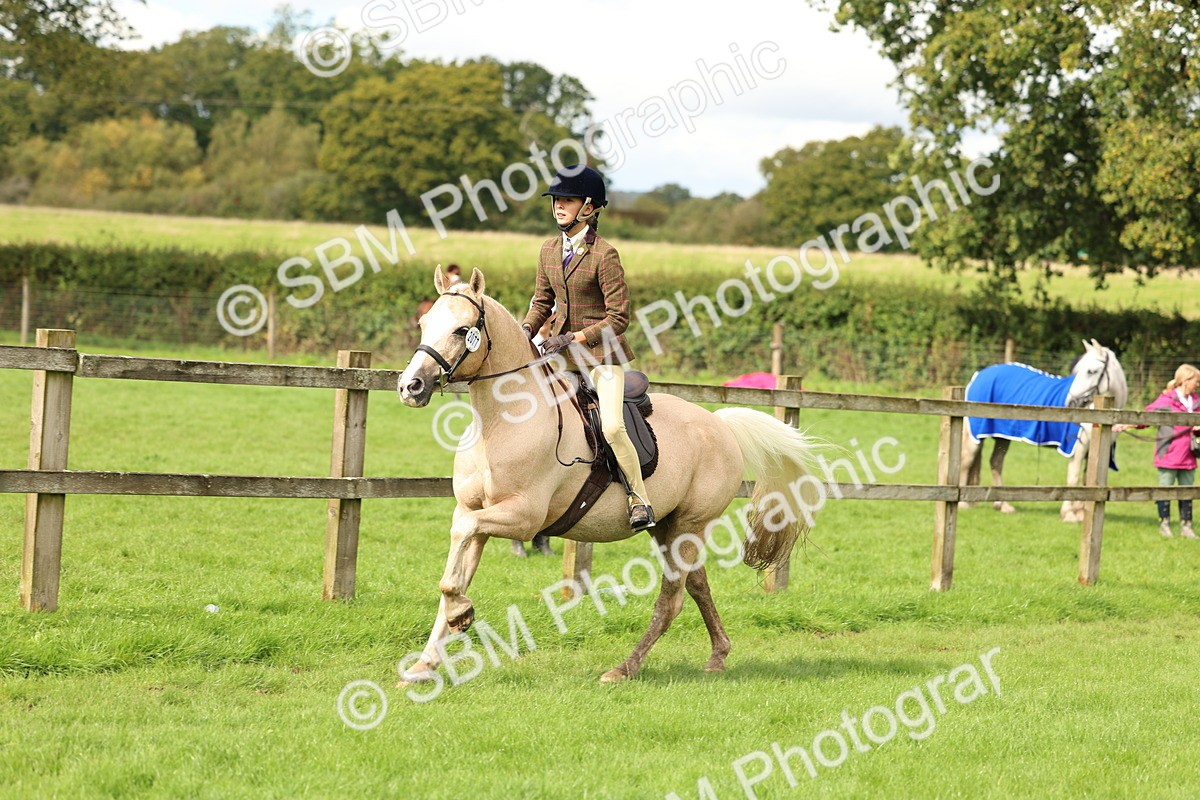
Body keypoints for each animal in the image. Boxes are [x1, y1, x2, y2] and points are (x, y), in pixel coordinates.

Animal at [396, 267, 823, 684]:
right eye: (424, 323)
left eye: (460, 330)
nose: (410, 386)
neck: (503, 422)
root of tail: (719, 423)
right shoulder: (474, 512)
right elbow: (455, 571)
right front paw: (427, 661)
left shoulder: (523, 517)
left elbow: (460, 547)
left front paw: (460, 615)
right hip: (667, 526)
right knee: (697, 584)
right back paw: (718, 656)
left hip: (689, 525)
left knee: (672, 599)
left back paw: (624, 669)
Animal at [959, 339, 1128, 522]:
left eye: (1091, 371)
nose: (1070, 403)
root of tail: (978, 375)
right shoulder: (1078, 448)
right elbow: (1073, 478)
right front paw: (1069, 514)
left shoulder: (1093, 451)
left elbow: (1087, 479)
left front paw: (1082, 513)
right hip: (975, 434)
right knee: (966, 461)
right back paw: (962, 503)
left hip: (1002, 437)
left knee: (996, 463)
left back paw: (1002, 505)